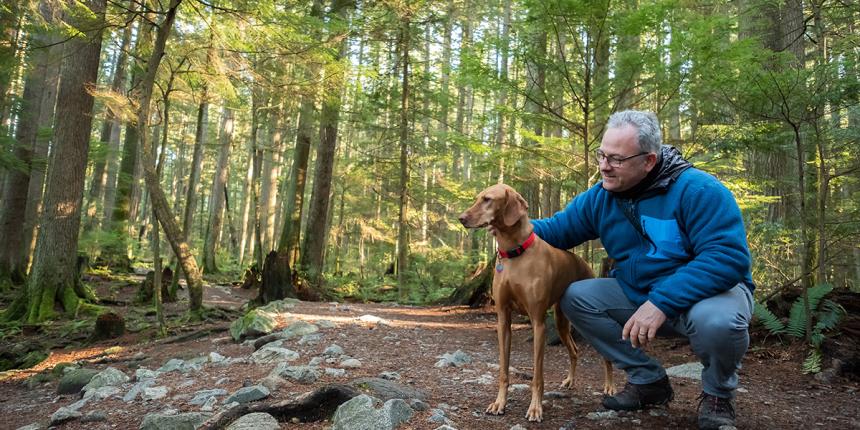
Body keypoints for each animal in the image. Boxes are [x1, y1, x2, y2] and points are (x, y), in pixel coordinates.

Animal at [460, 183, 616, 422]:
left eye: (487, 199)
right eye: (478, 198)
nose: (461, 218)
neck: (515, 254)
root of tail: (585, 264)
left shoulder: (538, 323)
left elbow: (537, 377)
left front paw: (535, 408)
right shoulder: (503, 320)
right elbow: (503, 371)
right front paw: (499, 403)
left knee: (606, 356)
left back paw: (609, 386)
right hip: (561, 322)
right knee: (574, 351)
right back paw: (570, 381)